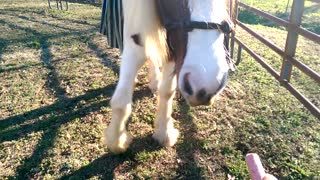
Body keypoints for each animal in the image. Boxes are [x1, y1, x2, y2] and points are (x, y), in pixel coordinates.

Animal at [104, 0, 236, 155]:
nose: (205, 87)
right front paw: (117, 141)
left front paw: (164, 132)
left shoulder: (173, 47)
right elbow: (122, 99)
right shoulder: (135, 39)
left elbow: (167, 92)